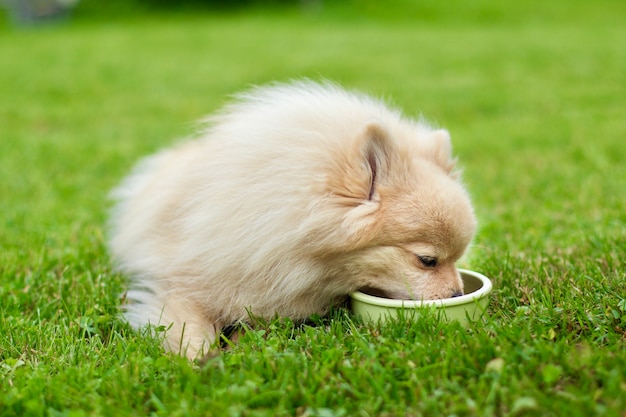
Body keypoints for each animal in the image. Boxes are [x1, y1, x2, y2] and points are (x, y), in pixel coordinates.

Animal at [109, 81, 476, 358]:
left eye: (456, 259)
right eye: (427, 260)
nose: (457, 294)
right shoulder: (183, 281)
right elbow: (192, 330)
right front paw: (200, 359)